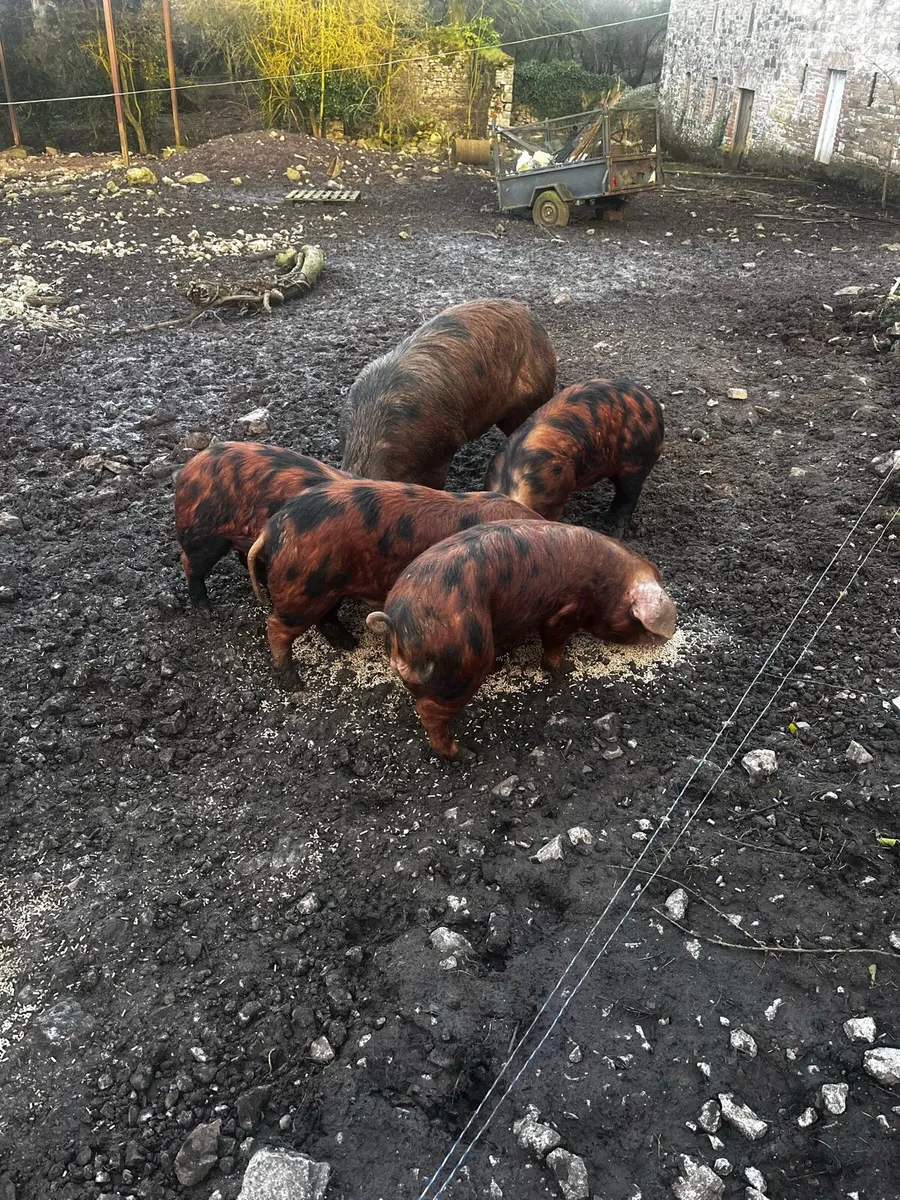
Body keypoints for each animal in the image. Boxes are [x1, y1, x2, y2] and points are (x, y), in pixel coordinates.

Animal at [245, 479, 542, 685]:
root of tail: (270, 531)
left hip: (325, 587)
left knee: (324, 618)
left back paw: (349, 643)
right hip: (303, 586)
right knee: (276, 627)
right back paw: (293, 683)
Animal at [366, 520, 676, 758]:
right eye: (640, 624)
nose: (666, 638)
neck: (609, 583)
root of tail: (398, 627)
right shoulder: (565, 610)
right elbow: (554, 639)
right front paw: (566, 669)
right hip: (463, 661)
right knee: (429, 711)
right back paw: (464, 754)